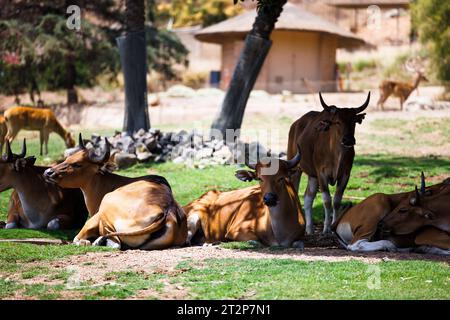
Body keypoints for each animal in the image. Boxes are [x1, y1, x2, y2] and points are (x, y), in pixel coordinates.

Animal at [44, 134, 186, 249]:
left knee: (109, 241)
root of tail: (167, 211)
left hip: (106, 204)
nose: (48, 172)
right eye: (67, 158)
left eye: (77, 164)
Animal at [288, 91, 370, 234]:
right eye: (337, 122)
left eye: (354, 121)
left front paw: (333, 226)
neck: (336, 155)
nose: (348, 140)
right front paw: (326, 228)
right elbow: (326, 200)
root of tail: (295, 124)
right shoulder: (322, 174)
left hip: (312, 176)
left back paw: (309, 229)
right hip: (296, 169)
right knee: (296, 192)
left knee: (308, 197)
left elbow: (336, 200)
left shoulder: (345, 175)